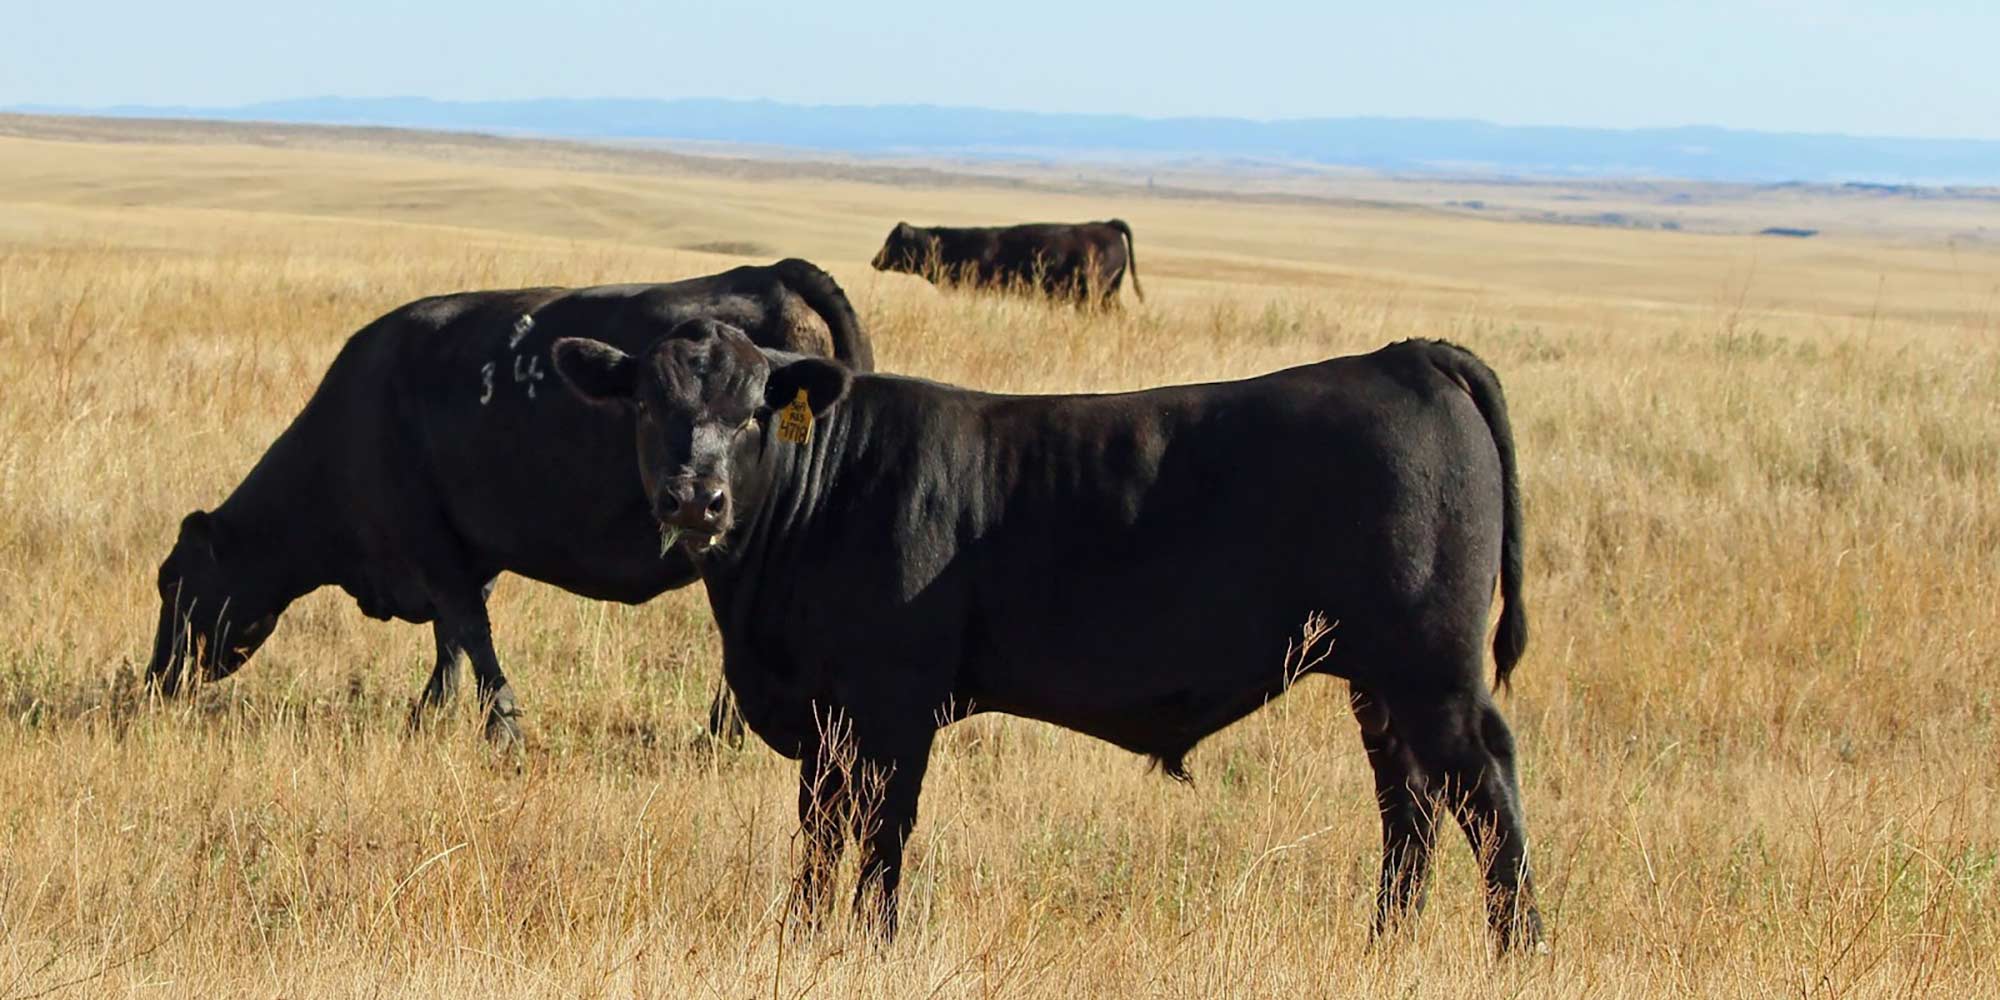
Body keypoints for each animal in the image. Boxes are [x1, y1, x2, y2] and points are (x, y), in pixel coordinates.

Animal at [145, 258, 880, 744]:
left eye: (171, 581)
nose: (154, 681)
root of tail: (776, 271)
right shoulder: (469, 545)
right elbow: (454, 638)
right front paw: (430, 713)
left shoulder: (427, 539)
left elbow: (469, 630)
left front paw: (500, 728)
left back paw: (723, 734)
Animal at [556, 322, 1536, 952]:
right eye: (646, 405)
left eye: (756, 410)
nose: (696, 498)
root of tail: (1406, 357)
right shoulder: (826, 718)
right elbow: (820, 833)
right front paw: (800, 939)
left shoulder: (892, 705)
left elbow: (881, 834)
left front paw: (872, 946)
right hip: (1378, 680)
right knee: (1410, 803)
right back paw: (1387, 944)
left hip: (1432, 667)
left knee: (1484, 787)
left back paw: (1517, 948)